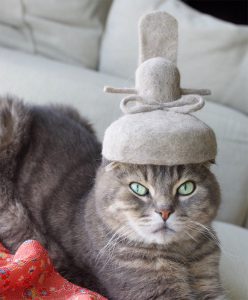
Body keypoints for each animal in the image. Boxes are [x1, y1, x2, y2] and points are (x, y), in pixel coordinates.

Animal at [0, 97, 225, 298]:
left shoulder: (209, 280)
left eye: (186, 188)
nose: (164, 212)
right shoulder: (153, 290)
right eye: (139, 188)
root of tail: (34, 108)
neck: (182, 254)